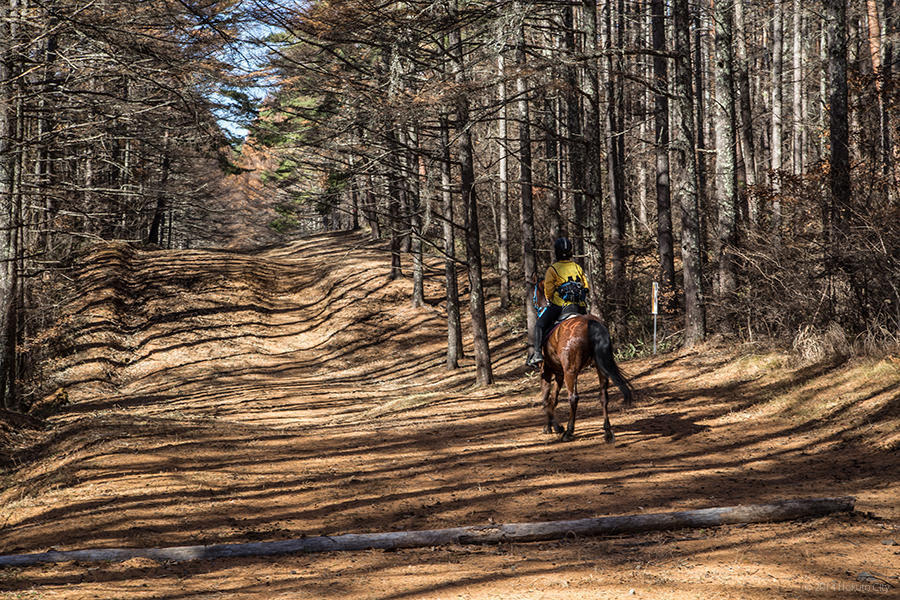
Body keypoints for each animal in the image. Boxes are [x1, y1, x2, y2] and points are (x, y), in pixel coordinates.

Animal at [532, 278, 628, 442]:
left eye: (534, 296)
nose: (537, 308)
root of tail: (591, 323)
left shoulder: (547, 371)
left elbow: (545, 400)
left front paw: (555, 427)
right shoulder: (559, 373)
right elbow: (553, 399)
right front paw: (550, 426)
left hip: (570, 371)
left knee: (573, 397)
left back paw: (569, 431)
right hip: (599, 367)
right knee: (603, 396)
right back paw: (607, 432)